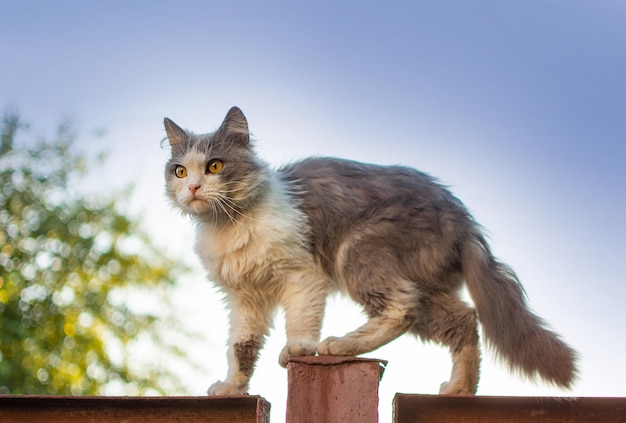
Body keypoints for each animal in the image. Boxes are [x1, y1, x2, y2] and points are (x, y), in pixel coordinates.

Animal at [161, 106, 576, 398]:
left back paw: (340, 344)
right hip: (426, 288)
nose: (194, 188)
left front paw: (298, 349)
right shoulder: (245, 299)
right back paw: (459, 389)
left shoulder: (303, 274)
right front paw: (233, 387)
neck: (228, 224)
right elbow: (241, 348)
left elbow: (300, 322)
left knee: (402, 307)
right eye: (179, 171)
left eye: (215, 166)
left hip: (358, 252)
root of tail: (462, 217)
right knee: (463, 319)